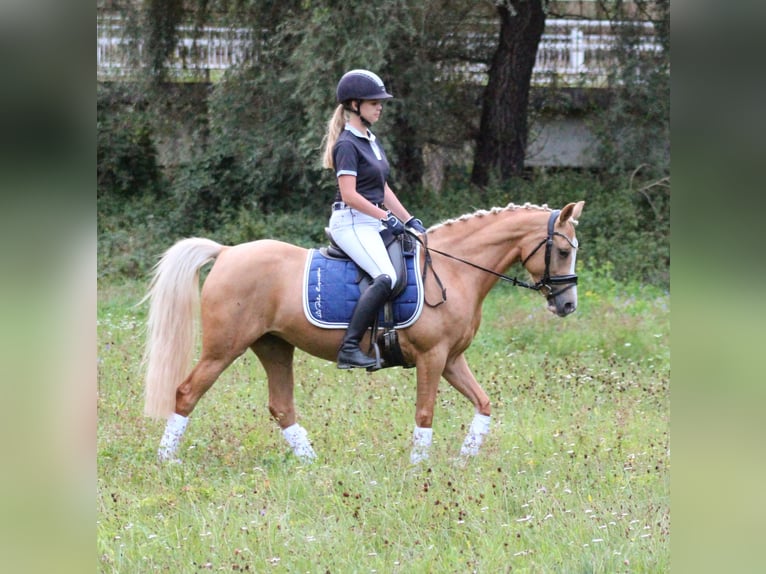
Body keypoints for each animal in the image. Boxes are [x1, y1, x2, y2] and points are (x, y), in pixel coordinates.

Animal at [144, 200, 584, 466]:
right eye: (563, 251)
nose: (567, 306)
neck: (456, 269)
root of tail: (227, 252)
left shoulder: (451, 359)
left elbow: (484, 403)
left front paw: (464, 459)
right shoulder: (432, 357)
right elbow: (425, 412)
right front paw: (419, 469)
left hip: (274, 346)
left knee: (281, 406)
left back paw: (313, 464)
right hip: (224, 348)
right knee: (187, 393)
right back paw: (167, 460)